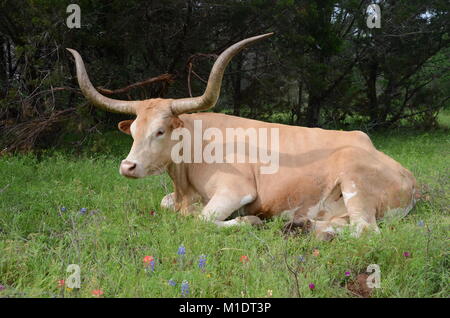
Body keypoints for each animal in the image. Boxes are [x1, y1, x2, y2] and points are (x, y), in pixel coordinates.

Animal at [67, 33, 418, 240]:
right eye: (133, 130)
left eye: (160, 130)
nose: (128, 167)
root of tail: (408, 176)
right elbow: (167, 204)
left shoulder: (234, 191)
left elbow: (201, 220)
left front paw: (251, 221)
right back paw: (299, 225)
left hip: (354, 180)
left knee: (365, 230)